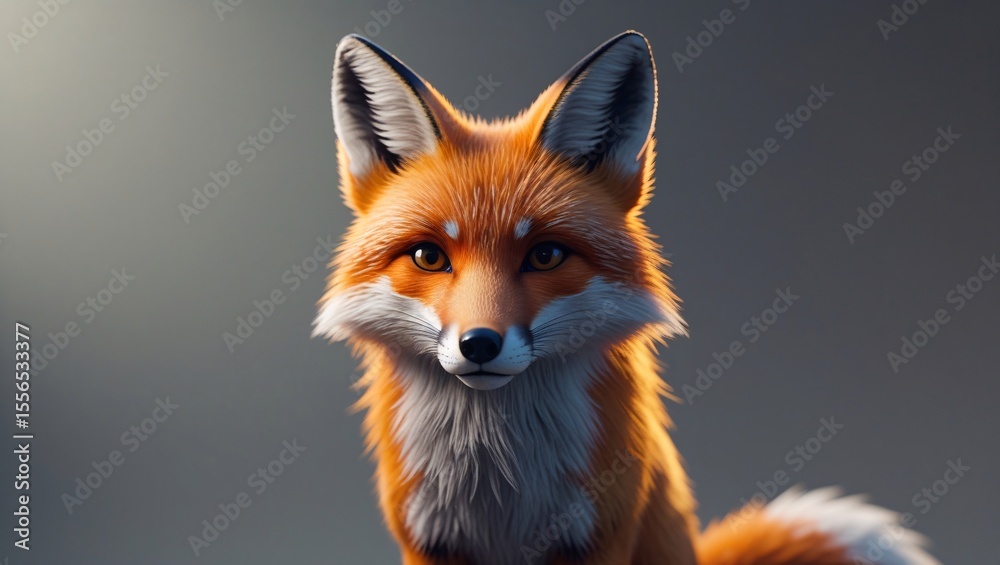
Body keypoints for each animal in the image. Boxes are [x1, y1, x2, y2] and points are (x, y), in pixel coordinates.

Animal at [313, 31, 941, 565]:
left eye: (545, 255)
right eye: (429, 257)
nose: (480, 345)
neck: (501, 484)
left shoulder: (598, 534)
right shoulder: (430, 539)